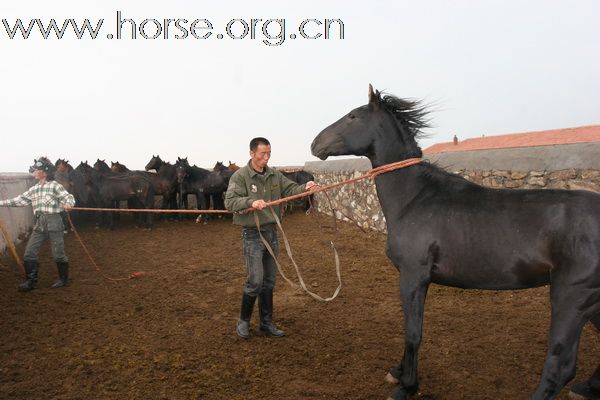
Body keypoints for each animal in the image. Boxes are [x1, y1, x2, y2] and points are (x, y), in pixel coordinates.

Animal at [310, 85, 600, 400]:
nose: (315, 144)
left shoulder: (413, 277)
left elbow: (413, 333)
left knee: (561, 367)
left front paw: (407, 385)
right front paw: (398, 372)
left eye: (352, 116)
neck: (415, 198)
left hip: (571, 298)